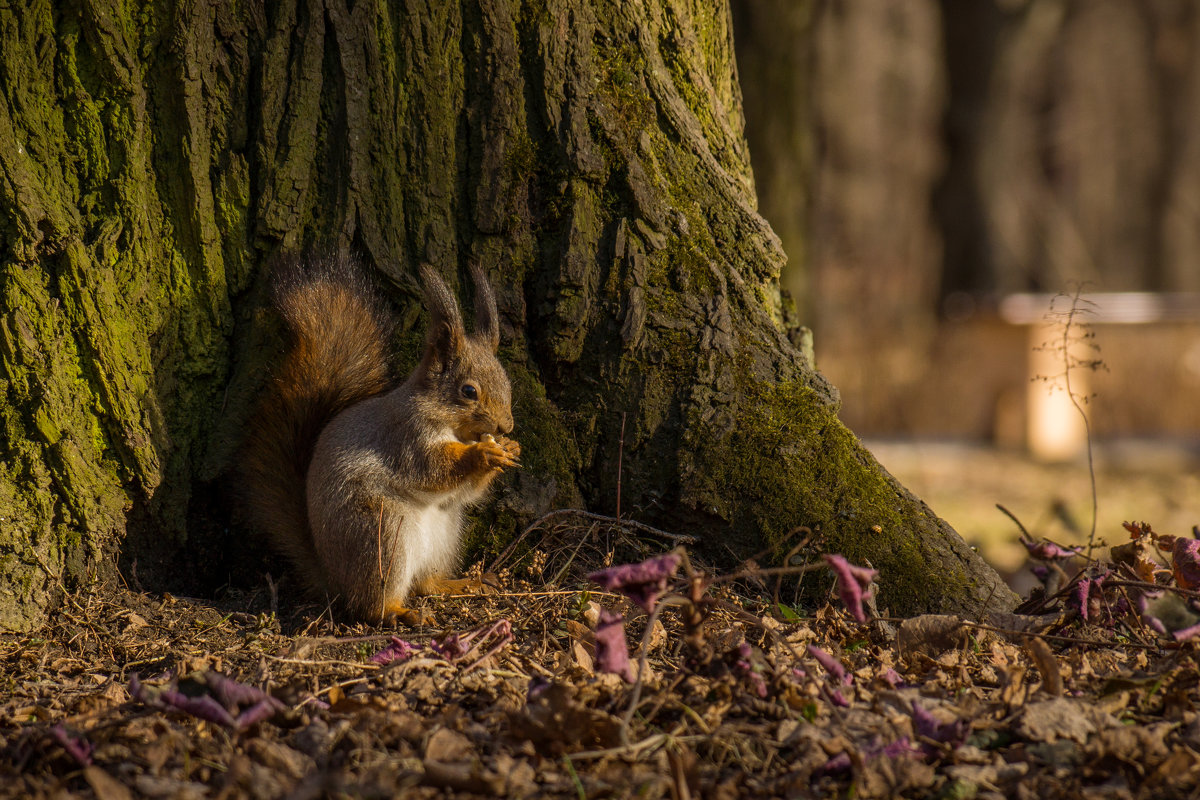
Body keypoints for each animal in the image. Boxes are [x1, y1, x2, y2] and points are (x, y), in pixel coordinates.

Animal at [243, 251, 520, 623]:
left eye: (506, 381)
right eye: (469, 391)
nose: (506, 427)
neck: (454, 428)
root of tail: (333, 578)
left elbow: (466, 491)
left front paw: (508, 449)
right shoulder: (406, 437)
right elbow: (433, 470)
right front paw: (483, 454)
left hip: (444, 535)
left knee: (425, 584)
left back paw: (457, 584)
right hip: (382, 533)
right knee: (372, 604)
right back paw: (399, 613)